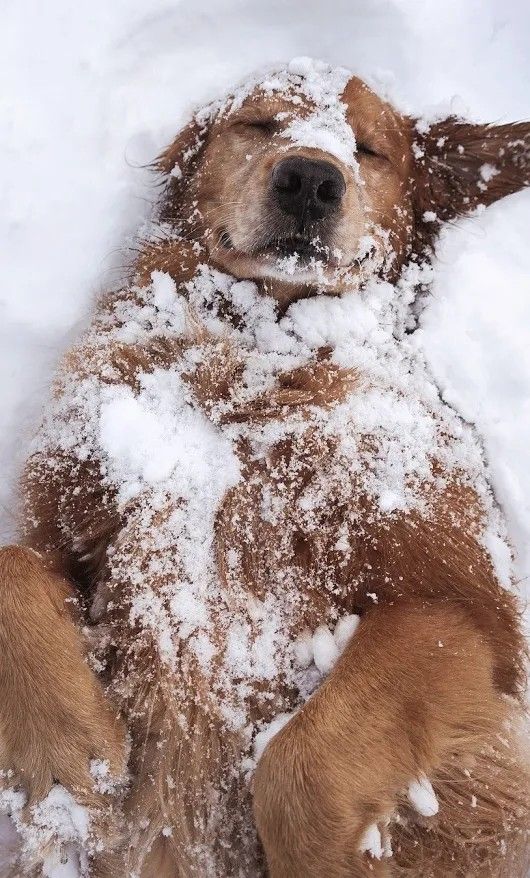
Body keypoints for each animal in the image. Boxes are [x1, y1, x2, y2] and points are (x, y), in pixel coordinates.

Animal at [1, 58, 528, 876]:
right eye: (261, 122)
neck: (259, 349)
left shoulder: (469, 606)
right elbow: (13, 568)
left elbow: (297, 767)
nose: (311, 178)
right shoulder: (67, 518)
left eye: (368, 148)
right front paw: (65, 752)